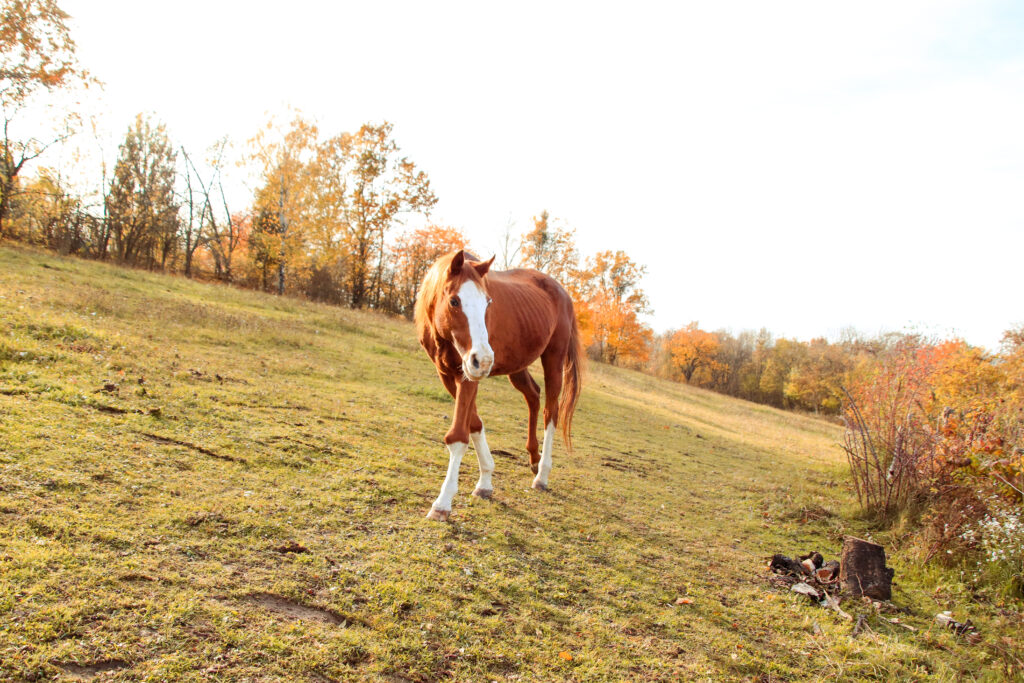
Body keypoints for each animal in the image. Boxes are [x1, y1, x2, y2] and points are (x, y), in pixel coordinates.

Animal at [414, 249, 583, 521]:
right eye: (454, 301)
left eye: (488, 303)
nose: (484, 360)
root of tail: (564, 293)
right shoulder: (447, 374)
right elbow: (474, 424)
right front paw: (485, 482)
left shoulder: (466, 375)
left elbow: (458, 435)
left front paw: (442, 503)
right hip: (517, 367)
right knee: (533, 396)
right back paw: (533, 457)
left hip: (553, 361)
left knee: (551, 411)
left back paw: (542, 475)